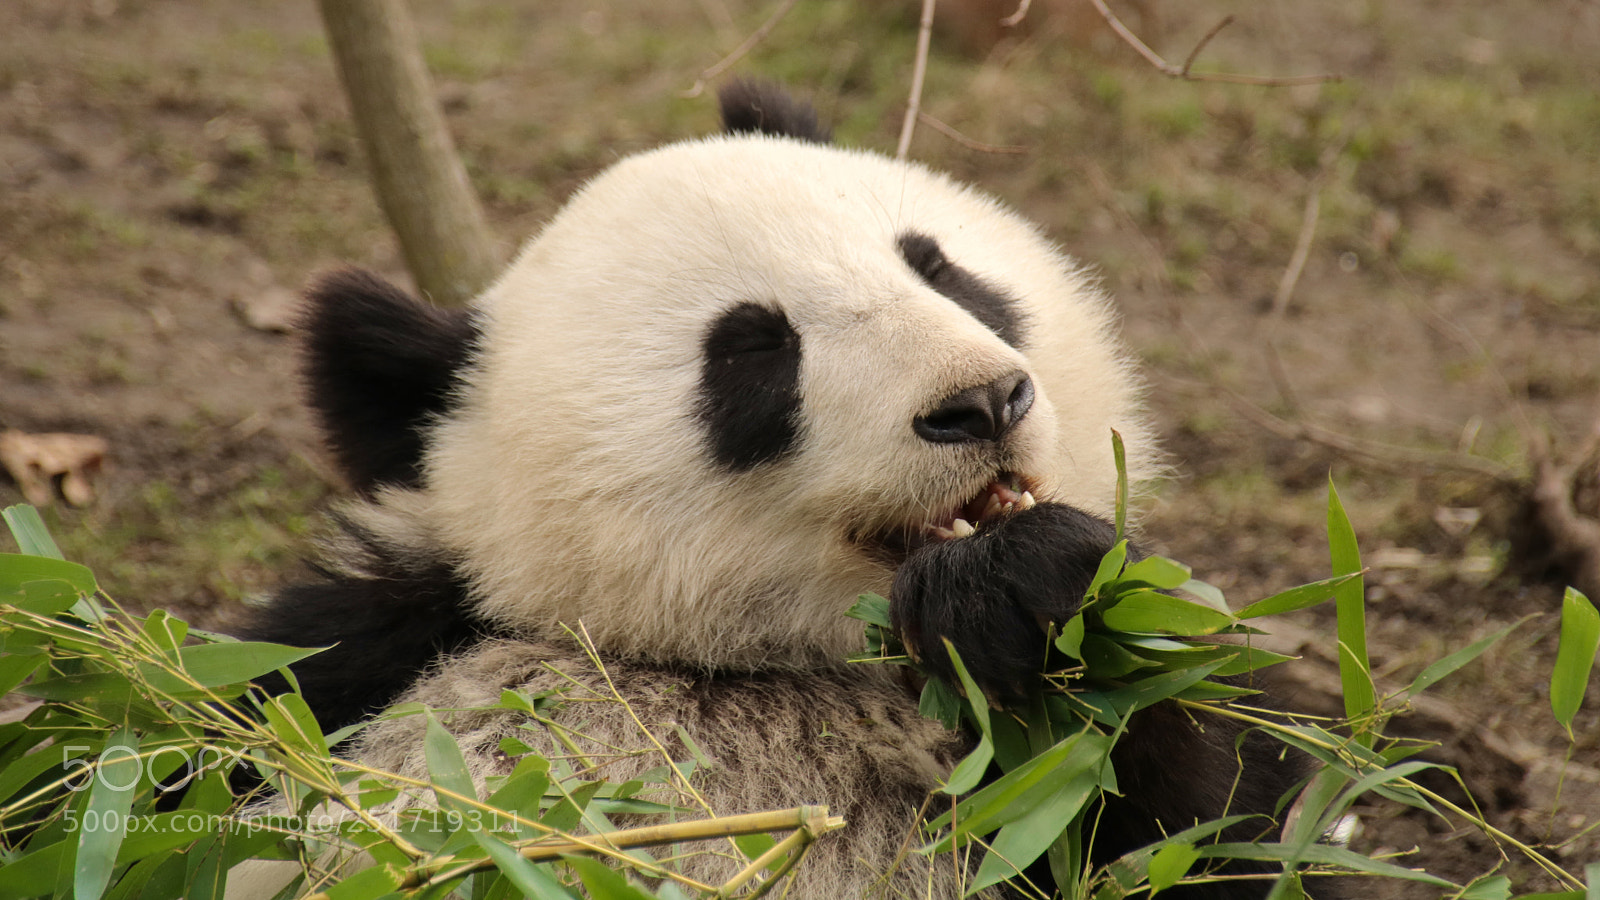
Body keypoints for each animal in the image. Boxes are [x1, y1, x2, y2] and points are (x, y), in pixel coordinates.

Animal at [240, 82, 1321, 899]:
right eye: (753, 351)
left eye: (939, 269)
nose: (981, 402)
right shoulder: (347, 668)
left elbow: (1229, 824)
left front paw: (1028, 586)